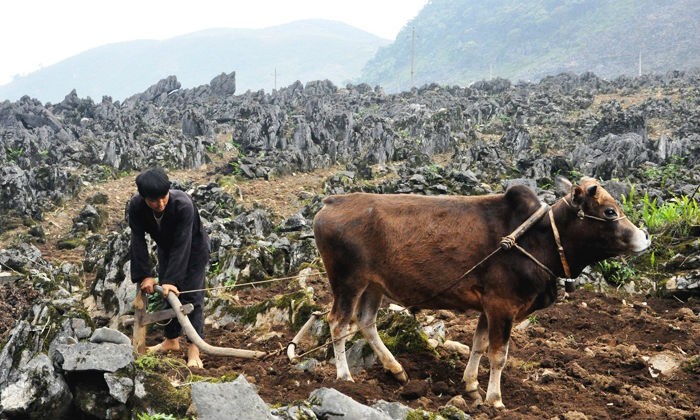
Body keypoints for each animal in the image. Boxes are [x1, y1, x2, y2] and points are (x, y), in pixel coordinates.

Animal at [312, 176, 652, 408]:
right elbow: (498, 355)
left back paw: (396, 370)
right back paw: (345, 378)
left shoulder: (489, 307)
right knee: (339, 324)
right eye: (610, 212)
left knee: (366, 322)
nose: (645, 237)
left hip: (373, 285)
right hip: (348, 282)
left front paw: (472, 387)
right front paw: (495, 399)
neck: (537, 239)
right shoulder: (503, 306)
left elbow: (478, 345)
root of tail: (331, 202)